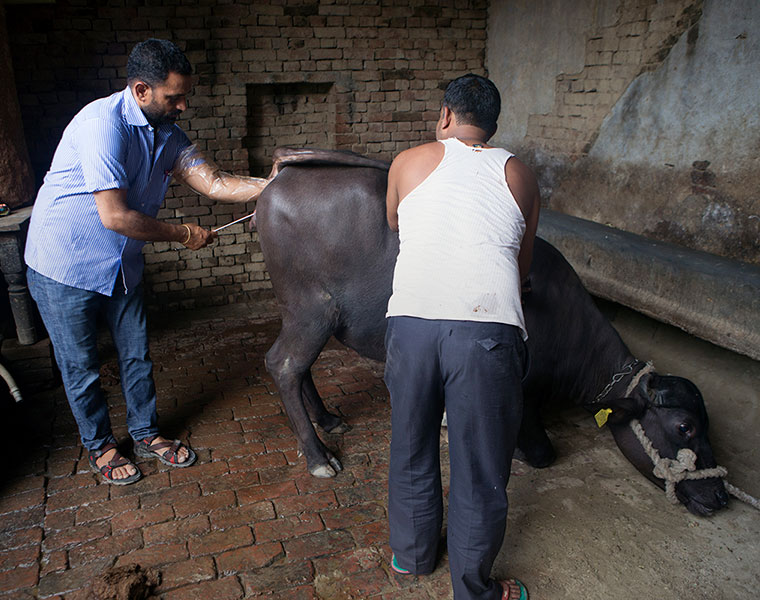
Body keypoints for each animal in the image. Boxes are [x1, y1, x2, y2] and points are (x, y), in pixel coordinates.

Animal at [256, 149, 732, 516]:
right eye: (685, 427)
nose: (720, 496)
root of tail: (277, 180)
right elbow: (542, 453)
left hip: (307, 316)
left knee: (300, 369)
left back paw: (329, 420)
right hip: (311, 310)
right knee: (283, 365)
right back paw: (318, 457)